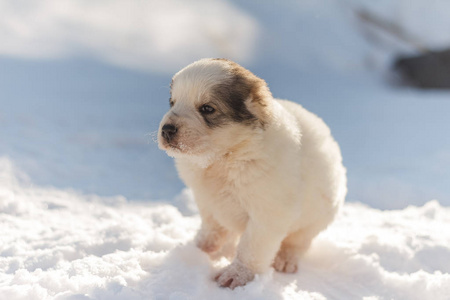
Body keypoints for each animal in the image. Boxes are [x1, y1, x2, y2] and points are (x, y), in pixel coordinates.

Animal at [158, 58, 348, 288]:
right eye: (172, 102)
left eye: (207, 108)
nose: (167, 129)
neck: (225, 158)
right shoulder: (206, 200)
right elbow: (211, 227)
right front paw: (201, 248)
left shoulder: (267, 213)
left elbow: (251, 249)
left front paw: (237, 274)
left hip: (315, 219)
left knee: (297, 243)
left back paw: (285, 260)